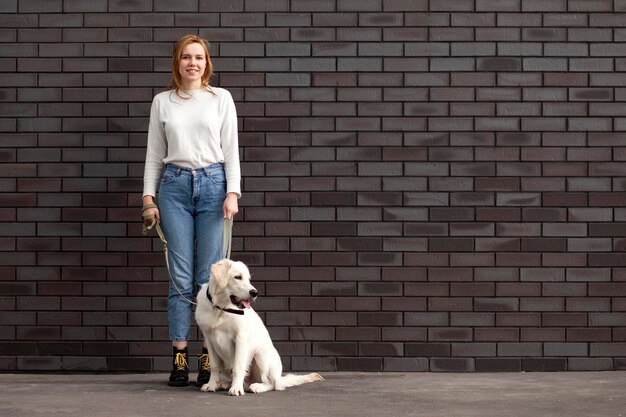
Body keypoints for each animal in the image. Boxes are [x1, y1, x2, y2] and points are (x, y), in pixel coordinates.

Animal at [194, 258, 322, 394]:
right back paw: (226, 384)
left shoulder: (241, 337)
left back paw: (258, 386)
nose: (255, 293)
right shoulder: (209, 339)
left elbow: (238, 367)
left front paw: (236, 388)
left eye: (249, 279)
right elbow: (214, 366)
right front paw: (212, 385)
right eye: (237, 277)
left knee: (272, 384)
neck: (221, 308)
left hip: (261, 353)